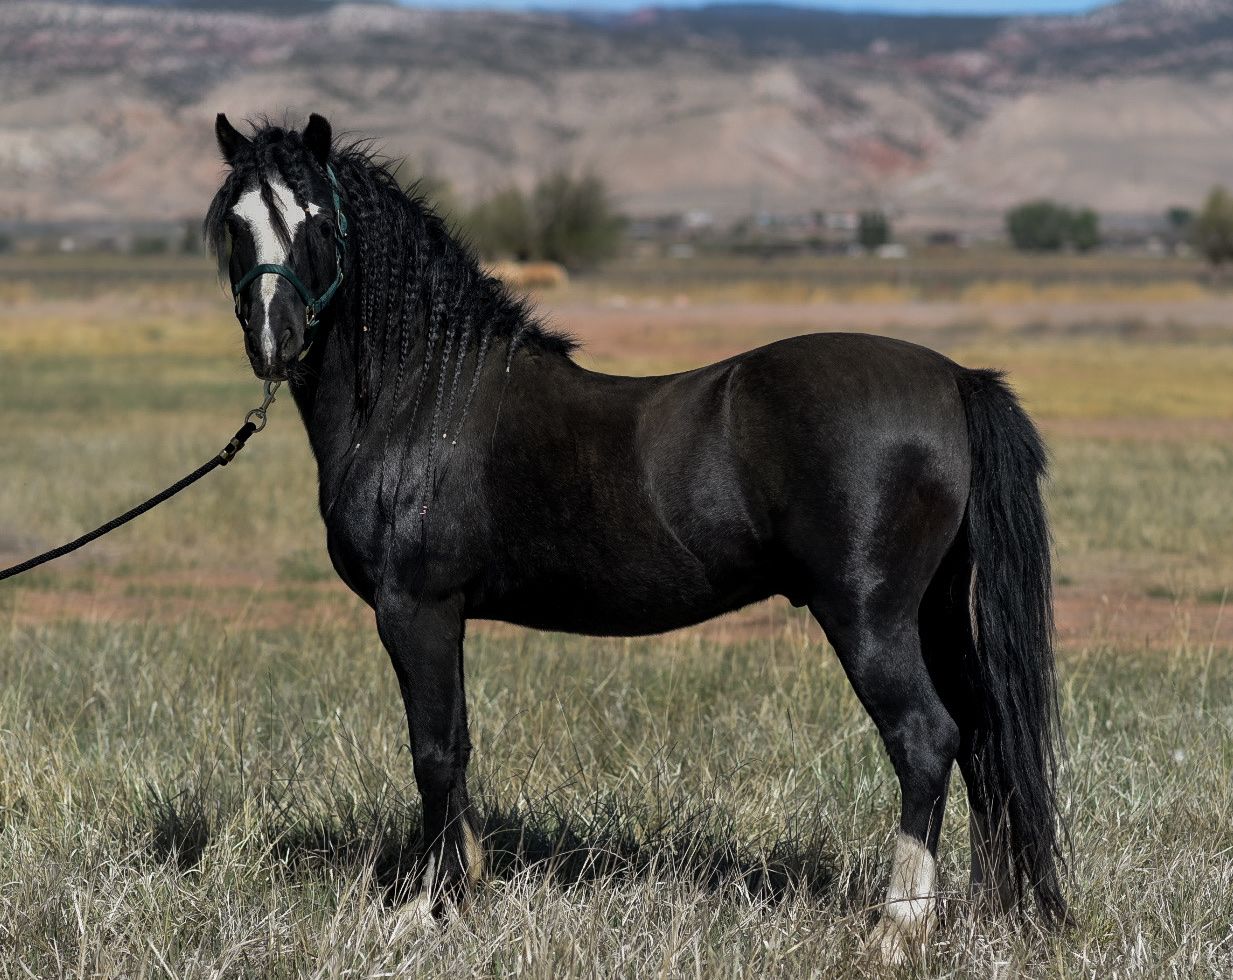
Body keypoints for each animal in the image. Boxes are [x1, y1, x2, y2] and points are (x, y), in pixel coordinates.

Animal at [206, 113, 1066, 961]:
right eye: (237, 225)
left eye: (317, 219)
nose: (275, 342)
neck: (423, 398)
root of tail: (953, 379)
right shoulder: (439, 616)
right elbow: (456, 745)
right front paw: (462, 887)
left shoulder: (414, 607)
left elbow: (433, 751)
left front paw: (424, 911)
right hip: (936, 612)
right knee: (983, 739)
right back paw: (986, 911)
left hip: (869, 617)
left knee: (924, 738)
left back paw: (897, 928)